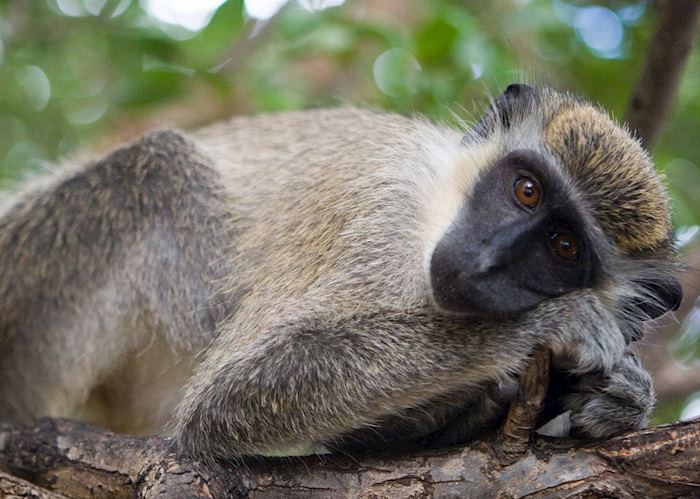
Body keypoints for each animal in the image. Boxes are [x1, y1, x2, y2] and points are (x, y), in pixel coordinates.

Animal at [0, 84, 682, 461]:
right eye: (526, 190)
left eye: (565, 247)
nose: (488, 257)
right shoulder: (377, 209)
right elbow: (226, 397)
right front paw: (549, 328)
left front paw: (619, 398)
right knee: (155, 168)